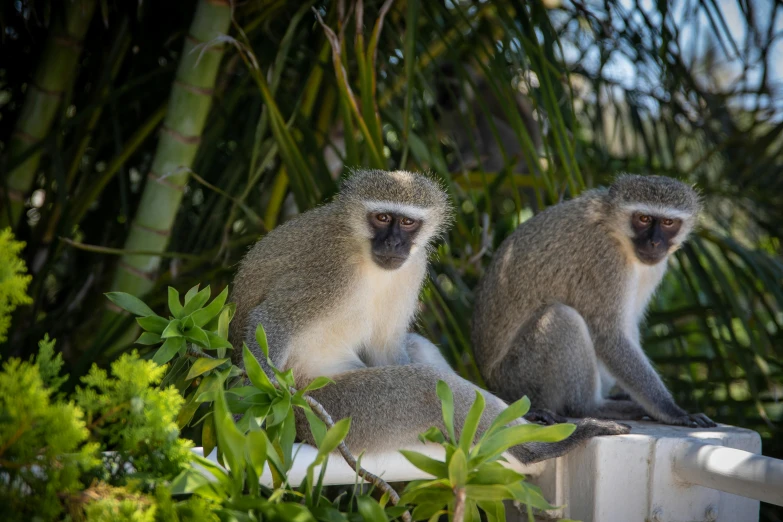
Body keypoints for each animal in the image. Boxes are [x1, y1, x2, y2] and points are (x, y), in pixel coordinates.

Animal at [228, 168, 632, 464]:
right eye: (382, 217)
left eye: (407, 224)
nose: (393, 243)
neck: (361, 251)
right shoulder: (330, 271)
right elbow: (271, 320)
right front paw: (254, 414)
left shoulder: (412, 266)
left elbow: (387, 347)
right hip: (330, 414)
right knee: (424, 386)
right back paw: (539, 450)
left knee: (419, 353)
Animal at [472, 175, 716, 426]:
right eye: (643, 219)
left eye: (668, 222)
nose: (655, 243)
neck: (614, 228)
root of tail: (494, 385)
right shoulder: (606, 260)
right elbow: (609, 336)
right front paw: (672, 411)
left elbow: (627, 327)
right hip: (519, 379)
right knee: (562, 318)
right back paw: (591, 407)